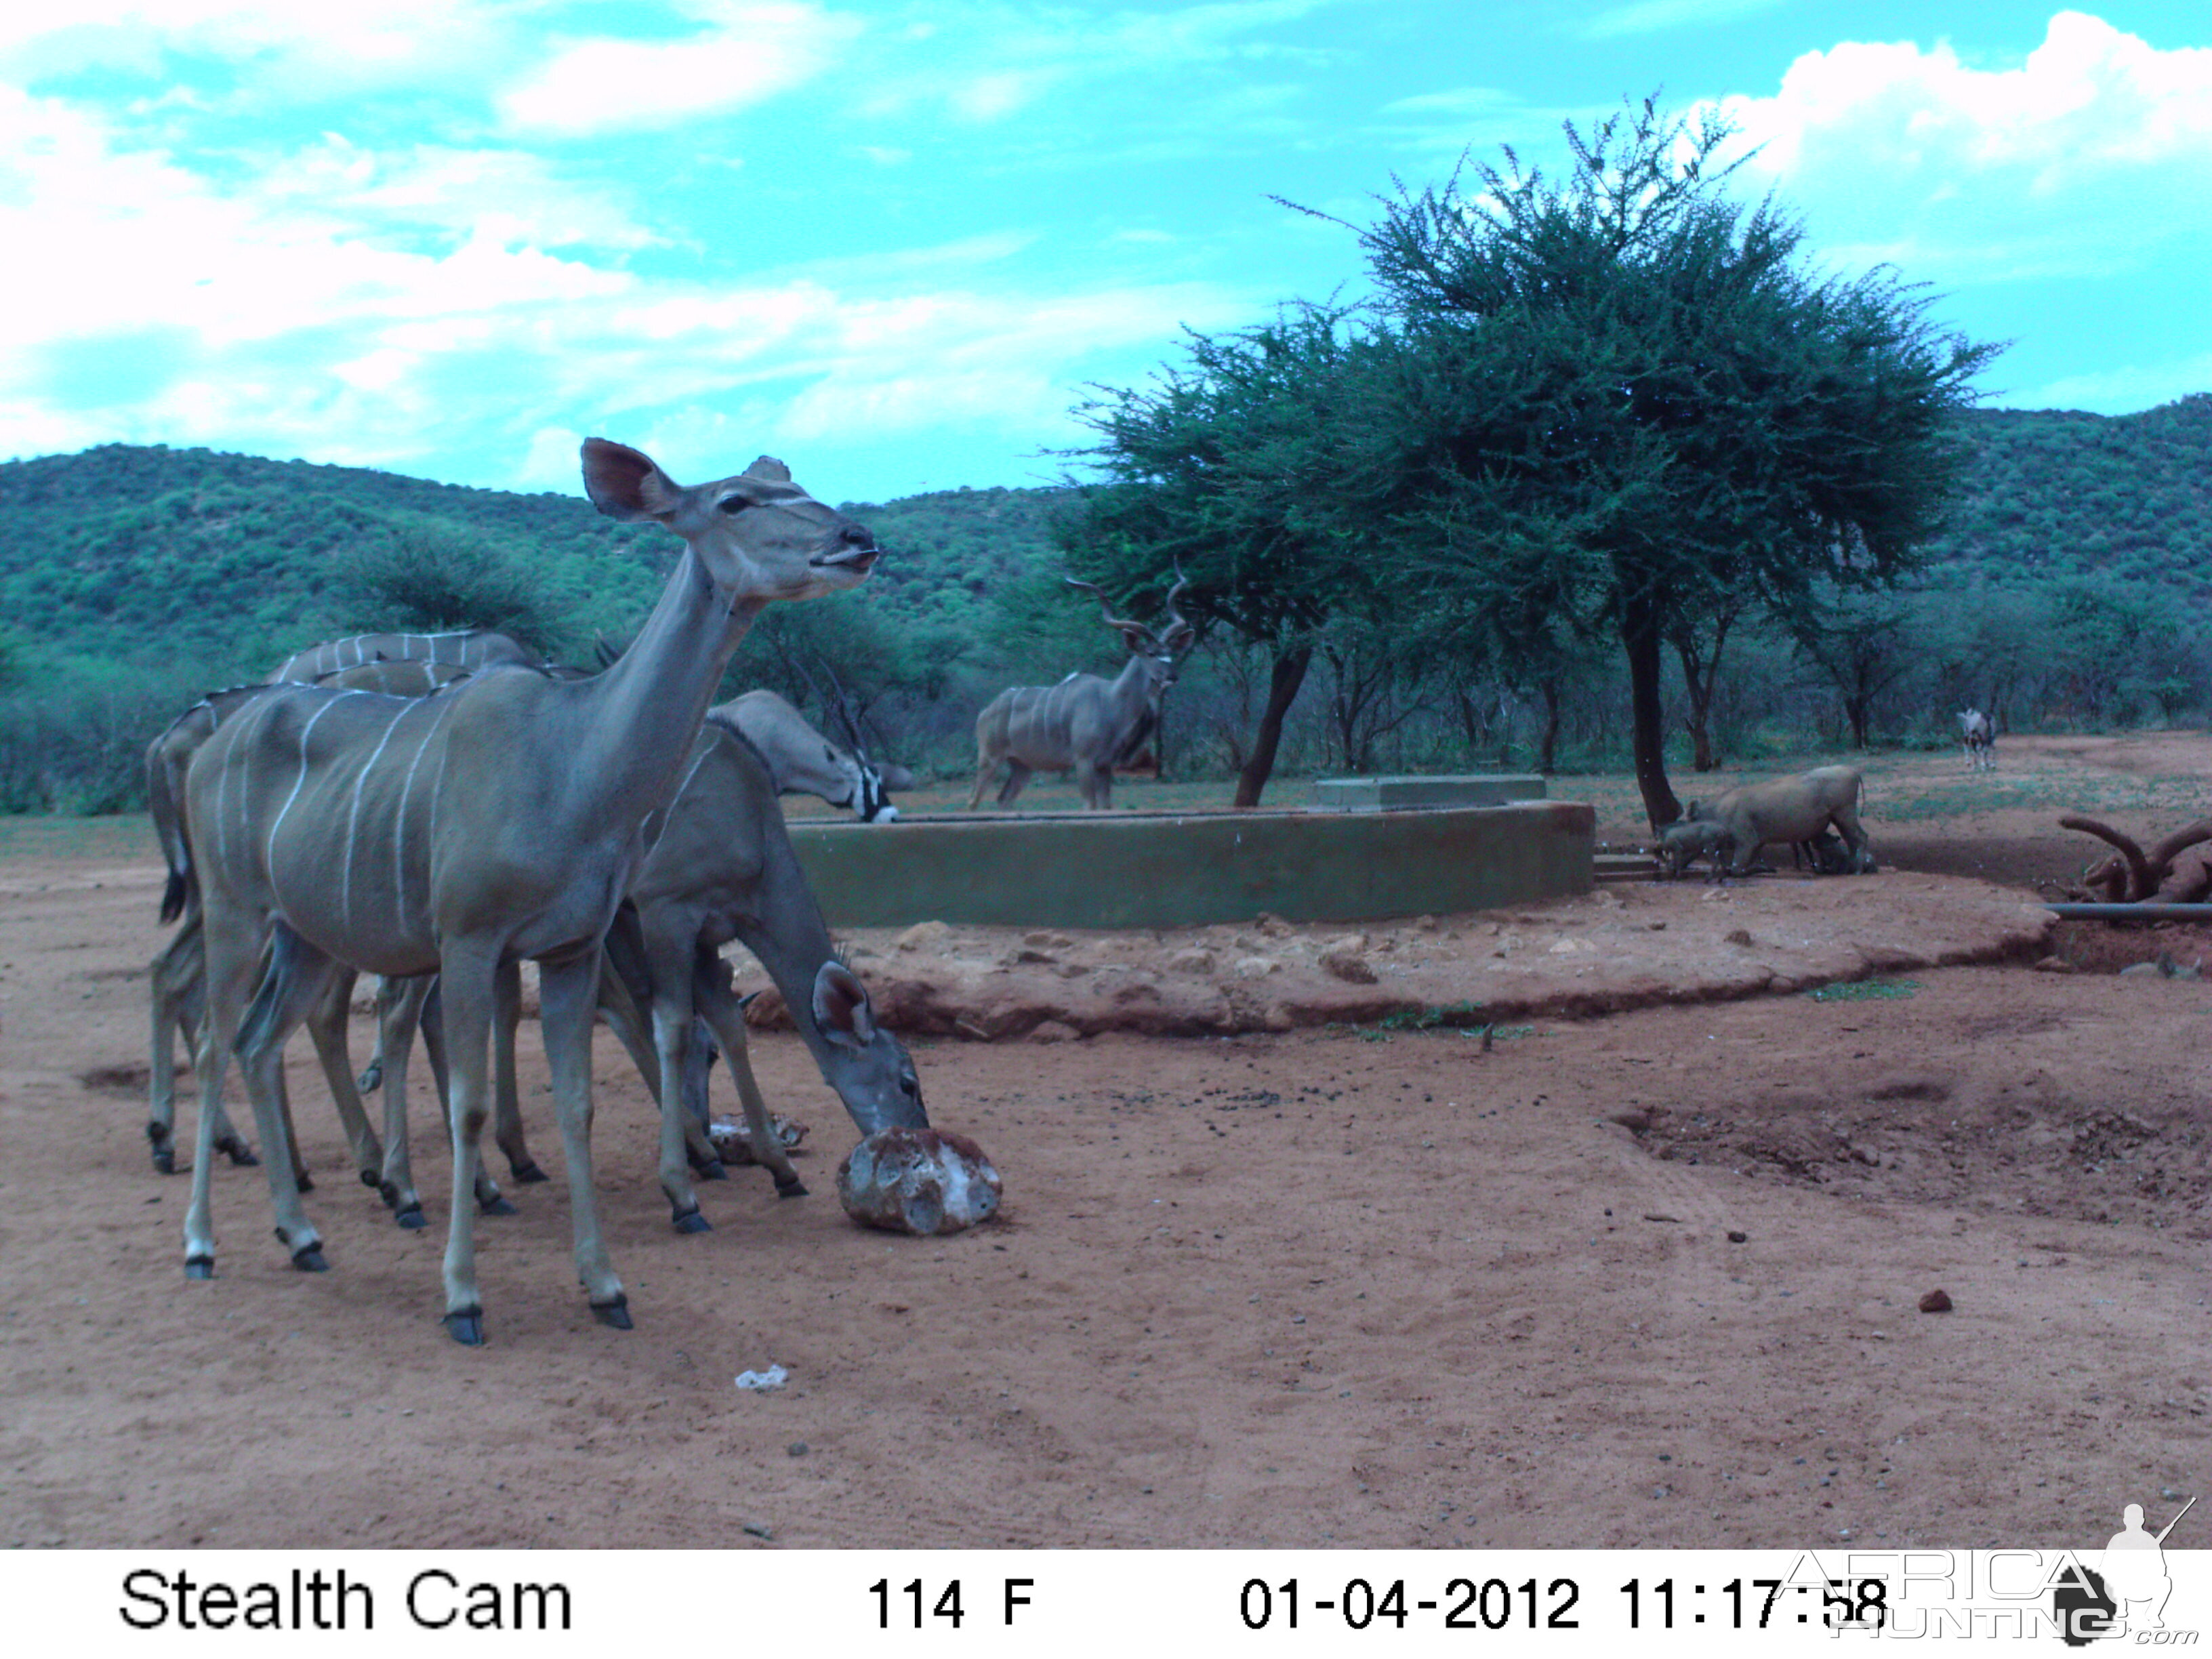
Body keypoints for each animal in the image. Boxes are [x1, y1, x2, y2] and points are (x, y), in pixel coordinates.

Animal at [968, 571, 1194, 814]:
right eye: (1151, 653)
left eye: (1171, 652)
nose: (1172, 676)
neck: (1110, 700)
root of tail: (985, 712)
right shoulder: (1083, 760)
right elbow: (1090, 805)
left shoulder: (1105, 765)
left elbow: (1106, 807)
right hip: (989, 757)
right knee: (974, 800)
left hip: (1023, 766)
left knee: (1004, 799)